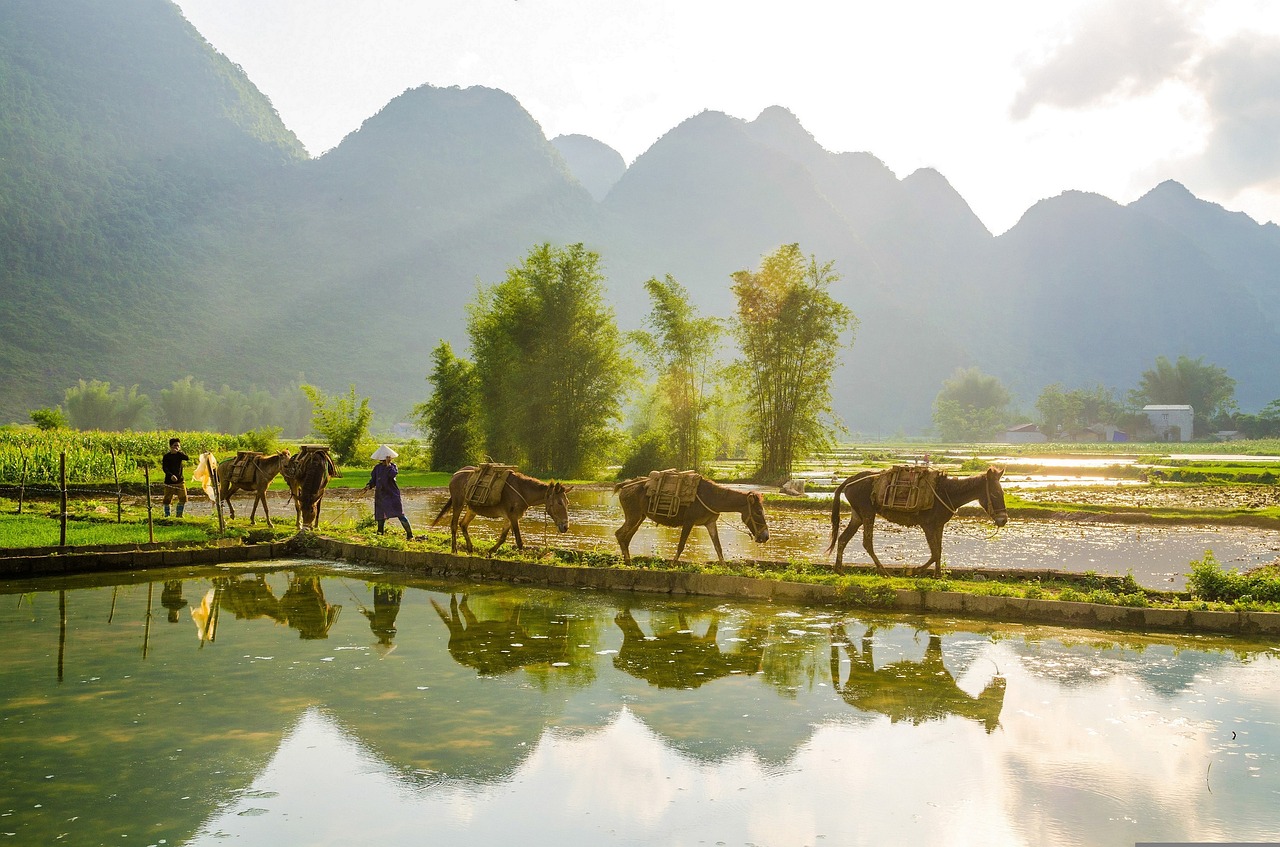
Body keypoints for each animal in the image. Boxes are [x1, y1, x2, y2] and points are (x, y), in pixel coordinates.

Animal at [430, 468, 570, 555]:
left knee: (463, 524)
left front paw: (490, 552)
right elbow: (519, 540)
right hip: (458, 503)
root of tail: (455, 475)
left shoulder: (510, 517)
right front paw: (522, 557)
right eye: (559, 502)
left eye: (567, 502)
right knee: (454, 525)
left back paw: (470, 548)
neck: (522, 490)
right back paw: (454, 550)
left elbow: (503, 538)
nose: (565, 527)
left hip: (472, 509)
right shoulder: (513, 517)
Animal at [611, 473, 762, 568]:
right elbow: (681, 545)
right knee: (620, 534)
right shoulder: (689, 521)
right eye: (759, 512)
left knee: (626, 537)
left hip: (640, 517)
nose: (765, 536)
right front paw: (672, 565)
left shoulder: (710, 523)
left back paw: (628, 562)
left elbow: (718, 546)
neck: (712, 498)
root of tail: (625, 485)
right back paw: (627, 563)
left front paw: (725, 567)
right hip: (633, 516)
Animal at [829, 465, 1008, 578]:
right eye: (995, 494)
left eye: (1002, 493)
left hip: (857, 516)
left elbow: (939, 551)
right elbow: (935, 553)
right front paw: (914, 571)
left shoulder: (939, 525)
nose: (1003, 520)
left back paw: (839, 570)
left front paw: (938, 575)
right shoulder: (927, 525)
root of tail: (849, 481)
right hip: (867, 513)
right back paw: (884, 573)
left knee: (843, 539)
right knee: (867, 543)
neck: (947, 492)